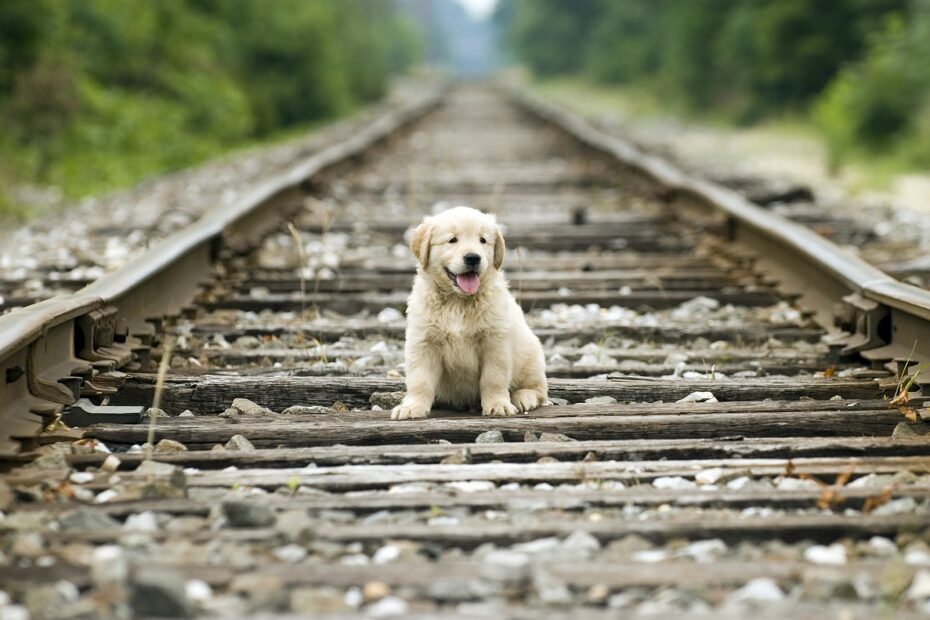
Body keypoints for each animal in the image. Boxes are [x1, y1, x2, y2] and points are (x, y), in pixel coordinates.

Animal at [390, 206, 548, 418]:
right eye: (452, 240)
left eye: (483, 240)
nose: (473, 257)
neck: (458, 302)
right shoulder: (423, 342)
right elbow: (419, 379)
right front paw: (411, 407)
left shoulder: (495, 342)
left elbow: (494, 377)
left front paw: (498, 404)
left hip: (531, 356)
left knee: (539, 390)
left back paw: (524, 397)